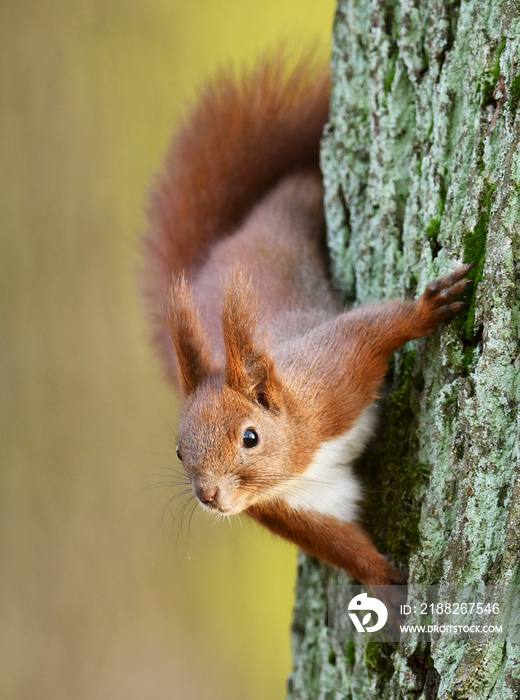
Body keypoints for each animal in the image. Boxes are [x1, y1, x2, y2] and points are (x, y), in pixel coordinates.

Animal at [140, 56, 474, 592]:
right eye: (177, 451)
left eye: (249, 437)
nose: (208, 495)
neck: (299, 455)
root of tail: (221, 244)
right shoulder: (293, 506)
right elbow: (339, 543)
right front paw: (387, 586)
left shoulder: (331, 377)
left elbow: (371, 329)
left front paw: (430, 307)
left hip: (286, 216)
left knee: (298, 185)